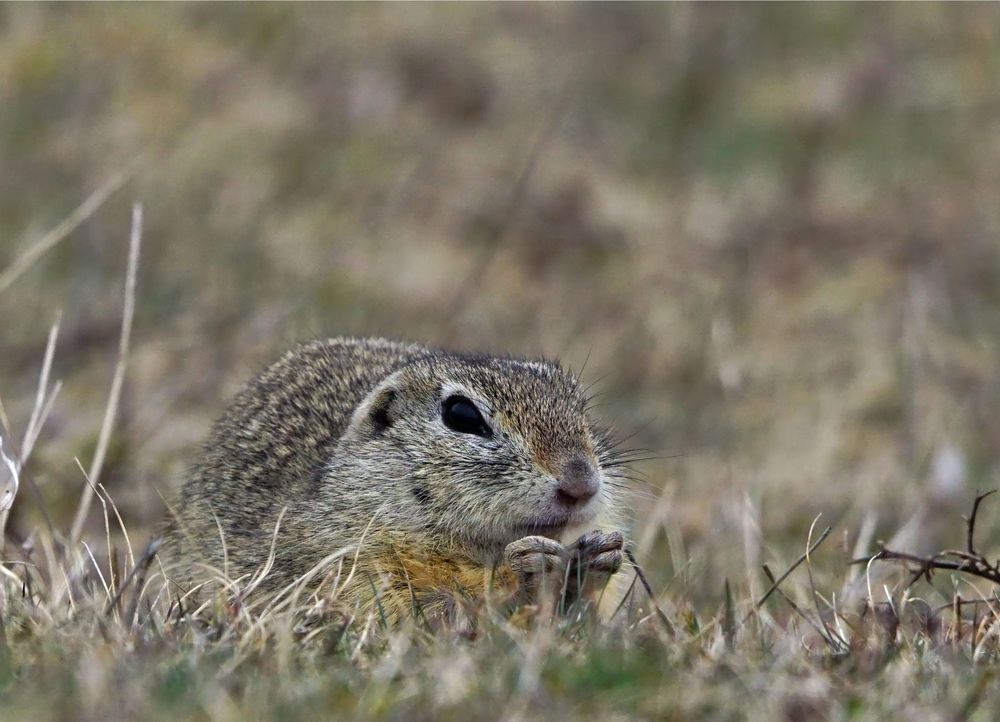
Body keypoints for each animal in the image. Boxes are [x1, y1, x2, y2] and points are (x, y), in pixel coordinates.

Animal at [170, 338, 624, 620]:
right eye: (462, 416)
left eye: (579, 406)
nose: (581, 484)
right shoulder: (348, 564)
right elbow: (424, 612)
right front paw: (525, 566)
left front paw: (599, 556)